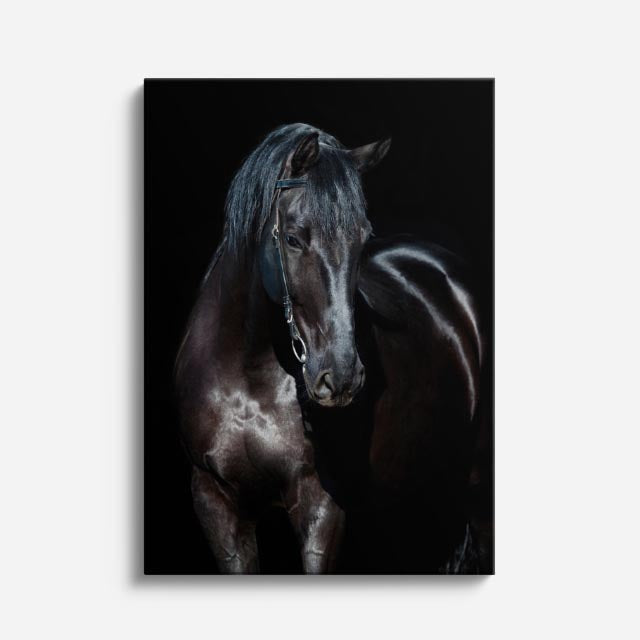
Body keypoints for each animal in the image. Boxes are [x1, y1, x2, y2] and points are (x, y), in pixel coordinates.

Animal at [174, 123, 490, 573]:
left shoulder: (321, 504)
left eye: (362, 238)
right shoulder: (216, 503)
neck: (248, 377)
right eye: (292, 238)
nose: (340, 377)